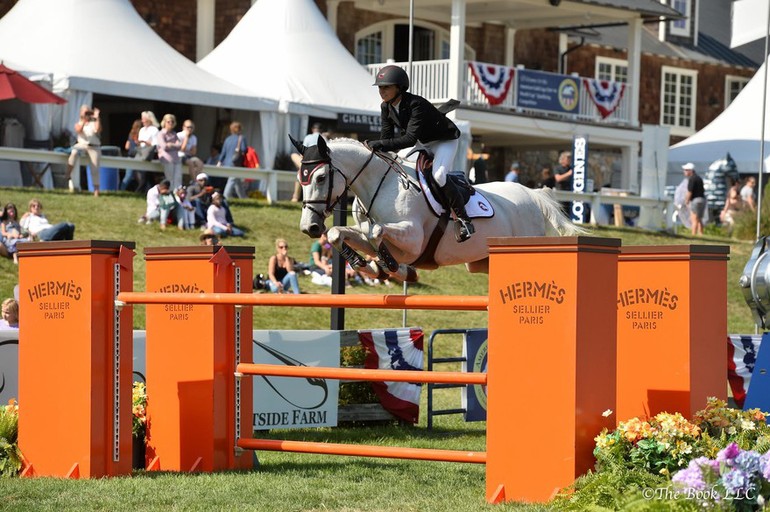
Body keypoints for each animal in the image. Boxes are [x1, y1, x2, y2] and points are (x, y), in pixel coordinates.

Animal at [292, 136, 584, 282]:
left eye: (320, 178)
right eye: (300, 178)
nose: (308, 227)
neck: (380, 184)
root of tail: (532, 194)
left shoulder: (413, 239)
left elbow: (377, 233)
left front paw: (391, 267)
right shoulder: (364, 232)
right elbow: (339, 234)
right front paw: (368, 265)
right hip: (481, 264)